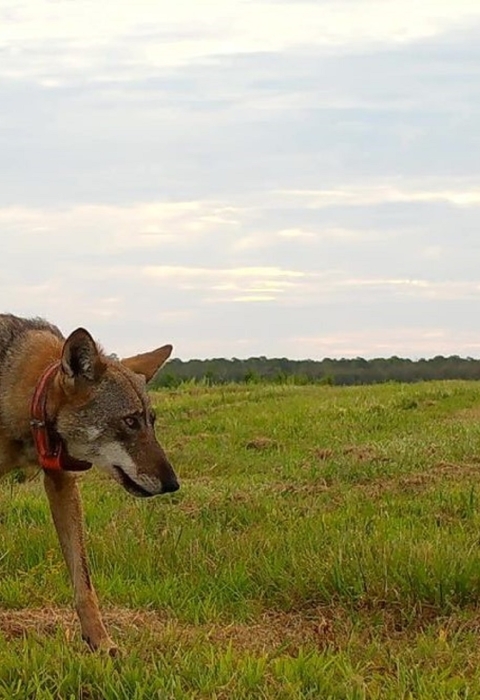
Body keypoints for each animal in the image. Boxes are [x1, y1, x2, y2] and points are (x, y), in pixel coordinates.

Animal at [0, 314, 179, 655]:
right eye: (130, 421)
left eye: (151, 422)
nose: (172, 484)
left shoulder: (62, 484)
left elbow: (83, 581)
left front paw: (101, 643)